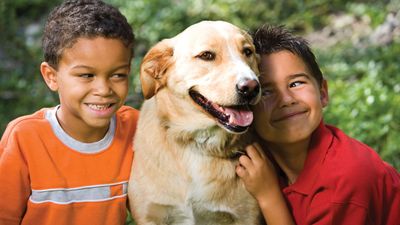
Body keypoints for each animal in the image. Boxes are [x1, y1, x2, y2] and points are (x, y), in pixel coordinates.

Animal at [129, 20, 262, 224]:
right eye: (206, 55)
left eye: (247, 51)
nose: (251, 87)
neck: (197, 143)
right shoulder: (150, 216)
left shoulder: (246, 217)